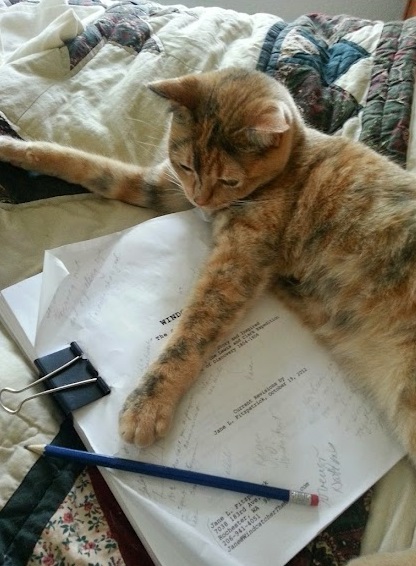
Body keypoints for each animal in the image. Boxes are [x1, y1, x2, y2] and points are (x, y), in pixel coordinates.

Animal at [1, 67, 416, 565]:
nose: (201, 200)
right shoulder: (162, 187)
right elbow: (85, 164)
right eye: (186, 166)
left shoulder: (236, 263)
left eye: (230, 180)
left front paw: (148, 405)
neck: (294, 162)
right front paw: (11, 148)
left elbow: (192, 331)